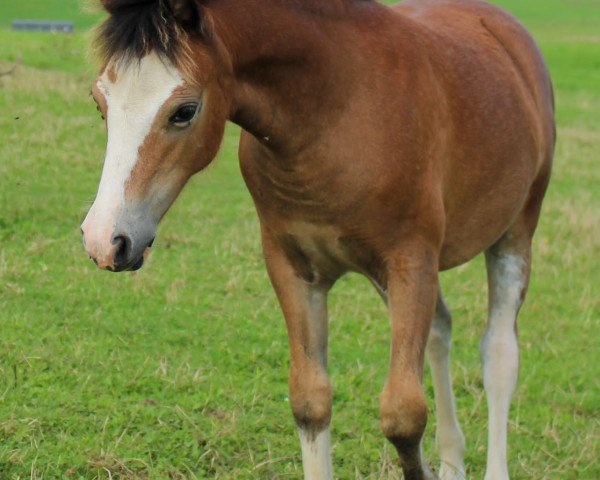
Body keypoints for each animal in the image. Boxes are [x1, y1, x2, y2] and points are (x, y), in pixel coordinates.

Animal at [82, 0, 556, 480]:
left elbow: (403, 415)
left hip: (515, 232)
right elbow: (310, 402)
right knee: (440, 330)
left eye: (184, 111)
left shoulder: (411, 262)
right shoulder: (294, 269)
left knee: (499, 355)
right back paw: (452, 458)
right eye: (99, 103)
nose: (105, 240)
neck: (335, 113)